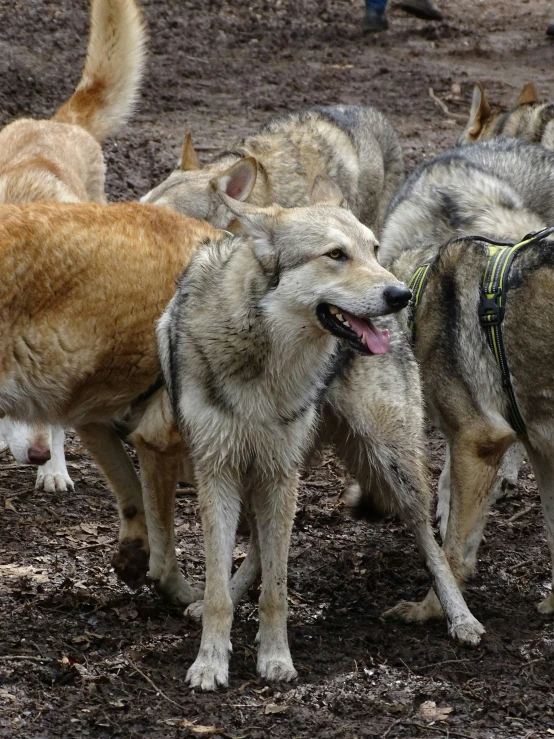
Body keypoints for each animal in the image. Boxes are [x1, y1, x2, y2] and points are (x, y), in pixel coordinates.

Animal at [0, 198, 218, 608]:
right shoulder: (159, 441)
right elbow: (167, 543)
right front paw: (178, 591)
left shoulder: (93, 423)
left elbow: (134, 499)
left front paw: (132, 556)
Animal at [156, 179, 484, 692]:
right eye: (335, 254)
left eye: (370, 250)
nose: (399, 295)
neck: (265, 356)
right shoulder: (219, 472)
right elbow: (219, 589)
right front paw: (210, 662)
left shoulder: (280, 473)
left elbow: (277, 589)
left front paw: (275, 658)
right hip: (275, 469)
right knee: (258, 549)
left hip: (390, 462)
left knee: (430, 540)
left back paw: (459, 617)